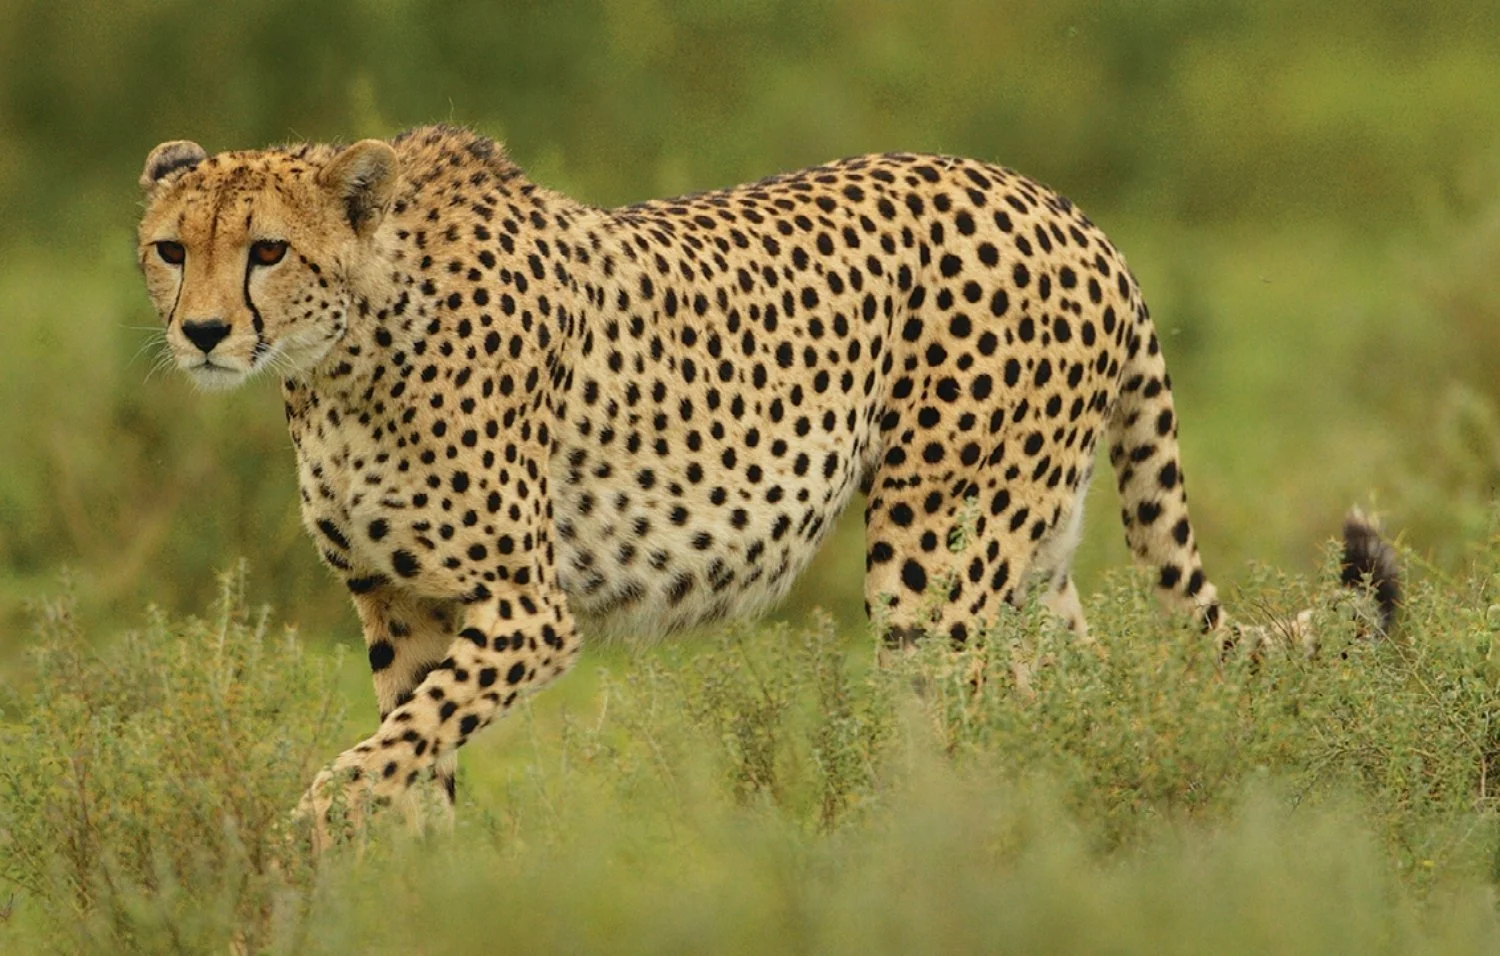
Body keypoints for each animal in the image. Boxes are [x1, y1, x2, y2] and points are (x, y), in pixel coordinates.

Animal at [135, 125, 1398, 837]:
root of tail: (1066, 211)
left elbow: (390, 750)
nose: (201, 332)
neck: (343, 360)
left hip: (936, 557)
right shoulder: (398, 603)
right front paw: (421, 886)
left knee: (963, 720)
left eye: (266, 249)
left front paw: (310, 830)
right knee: (1078, 688)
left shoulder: (530, 613)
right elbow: (416, 752)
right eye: (169, 247)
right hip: (1031, 545)